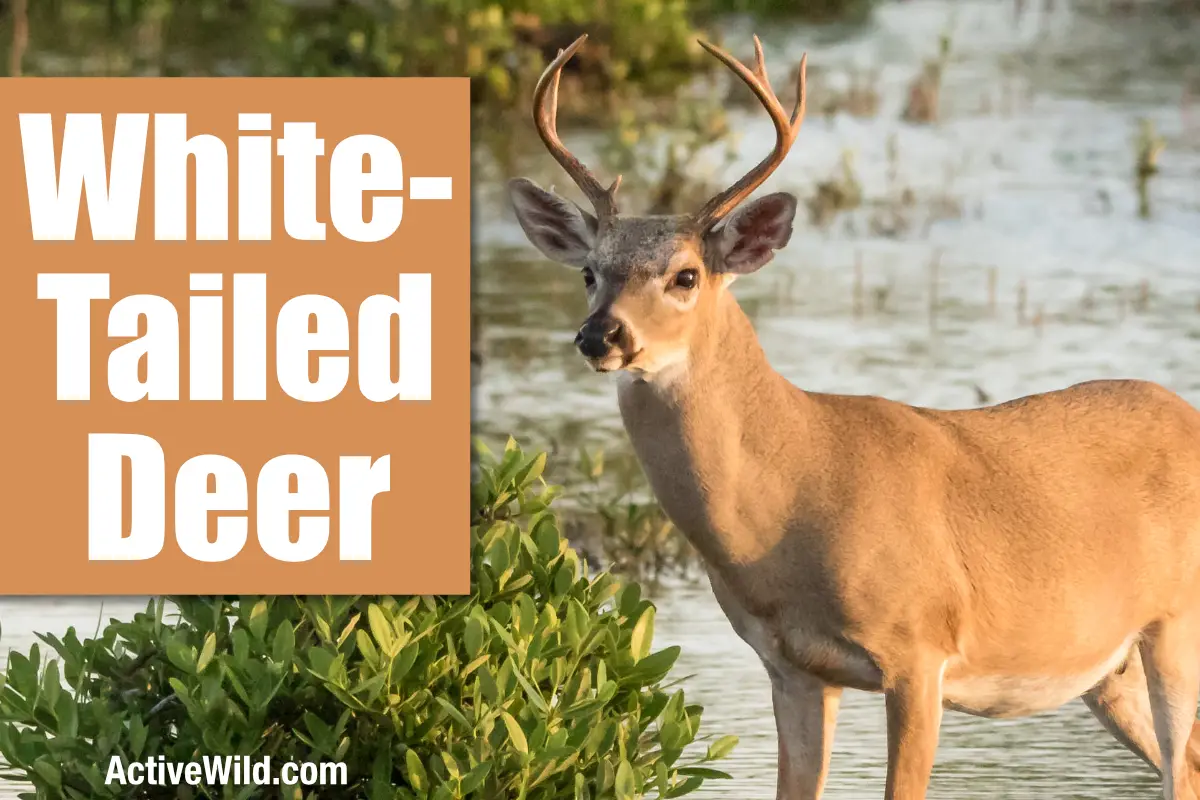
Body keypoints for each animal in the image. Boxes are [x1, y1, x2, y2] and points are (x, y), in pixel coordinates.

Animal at [507, 34, 1200, 800]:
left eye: (685, 275)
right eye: (589, 272)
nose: (601, 335)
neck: (795, 493)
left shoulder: (919, 651)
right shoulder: (792, 668)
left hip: (1177, 624)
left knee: (1180, 766)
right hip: (1109, 670)